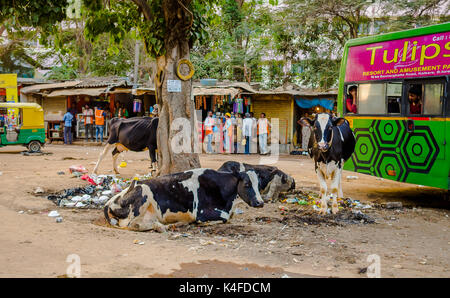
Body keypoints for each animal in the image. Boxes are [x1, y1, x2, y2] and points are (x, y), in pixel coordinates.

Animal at [103, 169, 264, 232]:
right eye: (247, 184)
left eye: (259, 184)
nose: (260, 203)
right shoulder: (201, 212)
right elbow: (224, 218)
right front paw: (202, 223)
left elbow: (229, 217)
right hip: (143, 195)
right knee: (133, 225)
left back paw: (170, 225)